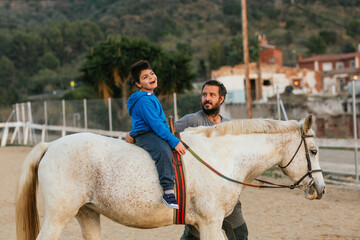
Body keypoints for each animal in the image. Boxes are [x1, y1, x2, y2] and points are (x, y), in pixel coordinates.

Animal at [16, 115, 326, 239]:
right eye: (313, 150)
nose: (320, 189)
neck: (222, 155)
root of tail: (51, 145)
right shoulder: (210, 223)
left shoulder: (207, 224)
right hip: (59, 216)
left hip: (88, 214)